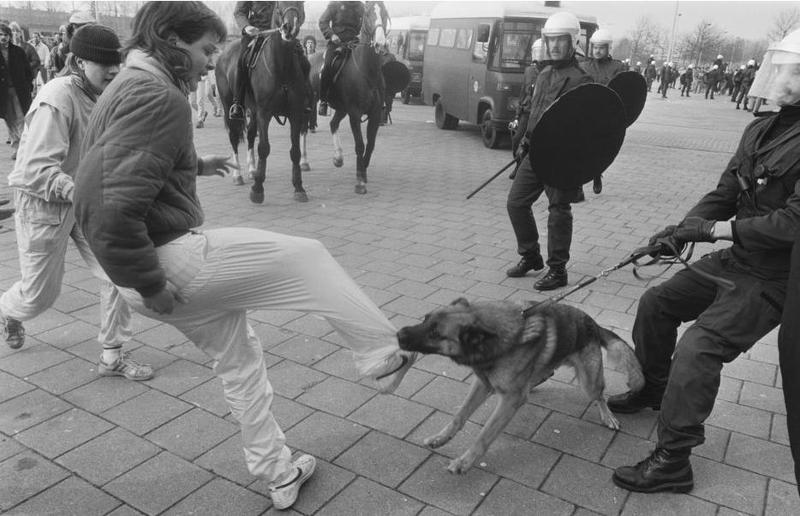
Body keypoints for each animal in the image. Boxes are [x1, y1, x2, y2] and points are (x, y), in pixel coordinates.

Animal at [217, 3, 310, 203]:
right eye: (280, 5)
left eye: (301, 3)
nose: (290, 27)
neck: (281, 66)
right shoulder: (264, 113)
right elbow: (264, 148)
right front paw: (258, 190)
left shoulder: (295, 113)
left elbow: (295, 150)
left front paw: (299, 187)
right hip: (230, 107)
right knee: (234, 137)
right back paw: (238, 175)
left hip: (253, 111)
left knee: (251, 135)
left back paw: (253, 170)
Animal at [300, 1, 390, 195]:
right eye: (368, 14)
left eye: (385, 14)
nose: (380, 43)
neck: (366, 70)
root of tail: (308, 57)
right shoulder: (355, 114)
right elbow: (360, 145)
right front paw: (360, 182)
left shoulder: (374, 114)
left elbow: (370, 144)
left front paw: (363, 171)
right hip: (309, 104)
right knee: (303, 129)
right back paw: (304, 162)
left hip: (341, 108)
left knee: (333, 124)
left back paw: (338, 158)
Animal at [396, 296, 648, 474]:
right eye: (425, 318)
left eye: (435, 333)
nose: (399, 333)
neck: (495, 338)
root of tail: (592, 323)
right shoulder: (482, 383)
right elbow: (459, 416)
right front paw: (441, 438)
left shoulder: (509, 400)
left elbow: (484, 435)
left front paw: (465, 462)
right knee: (547, 372)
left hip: (589, 382)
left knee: (600, 396)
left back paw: (608, 416)